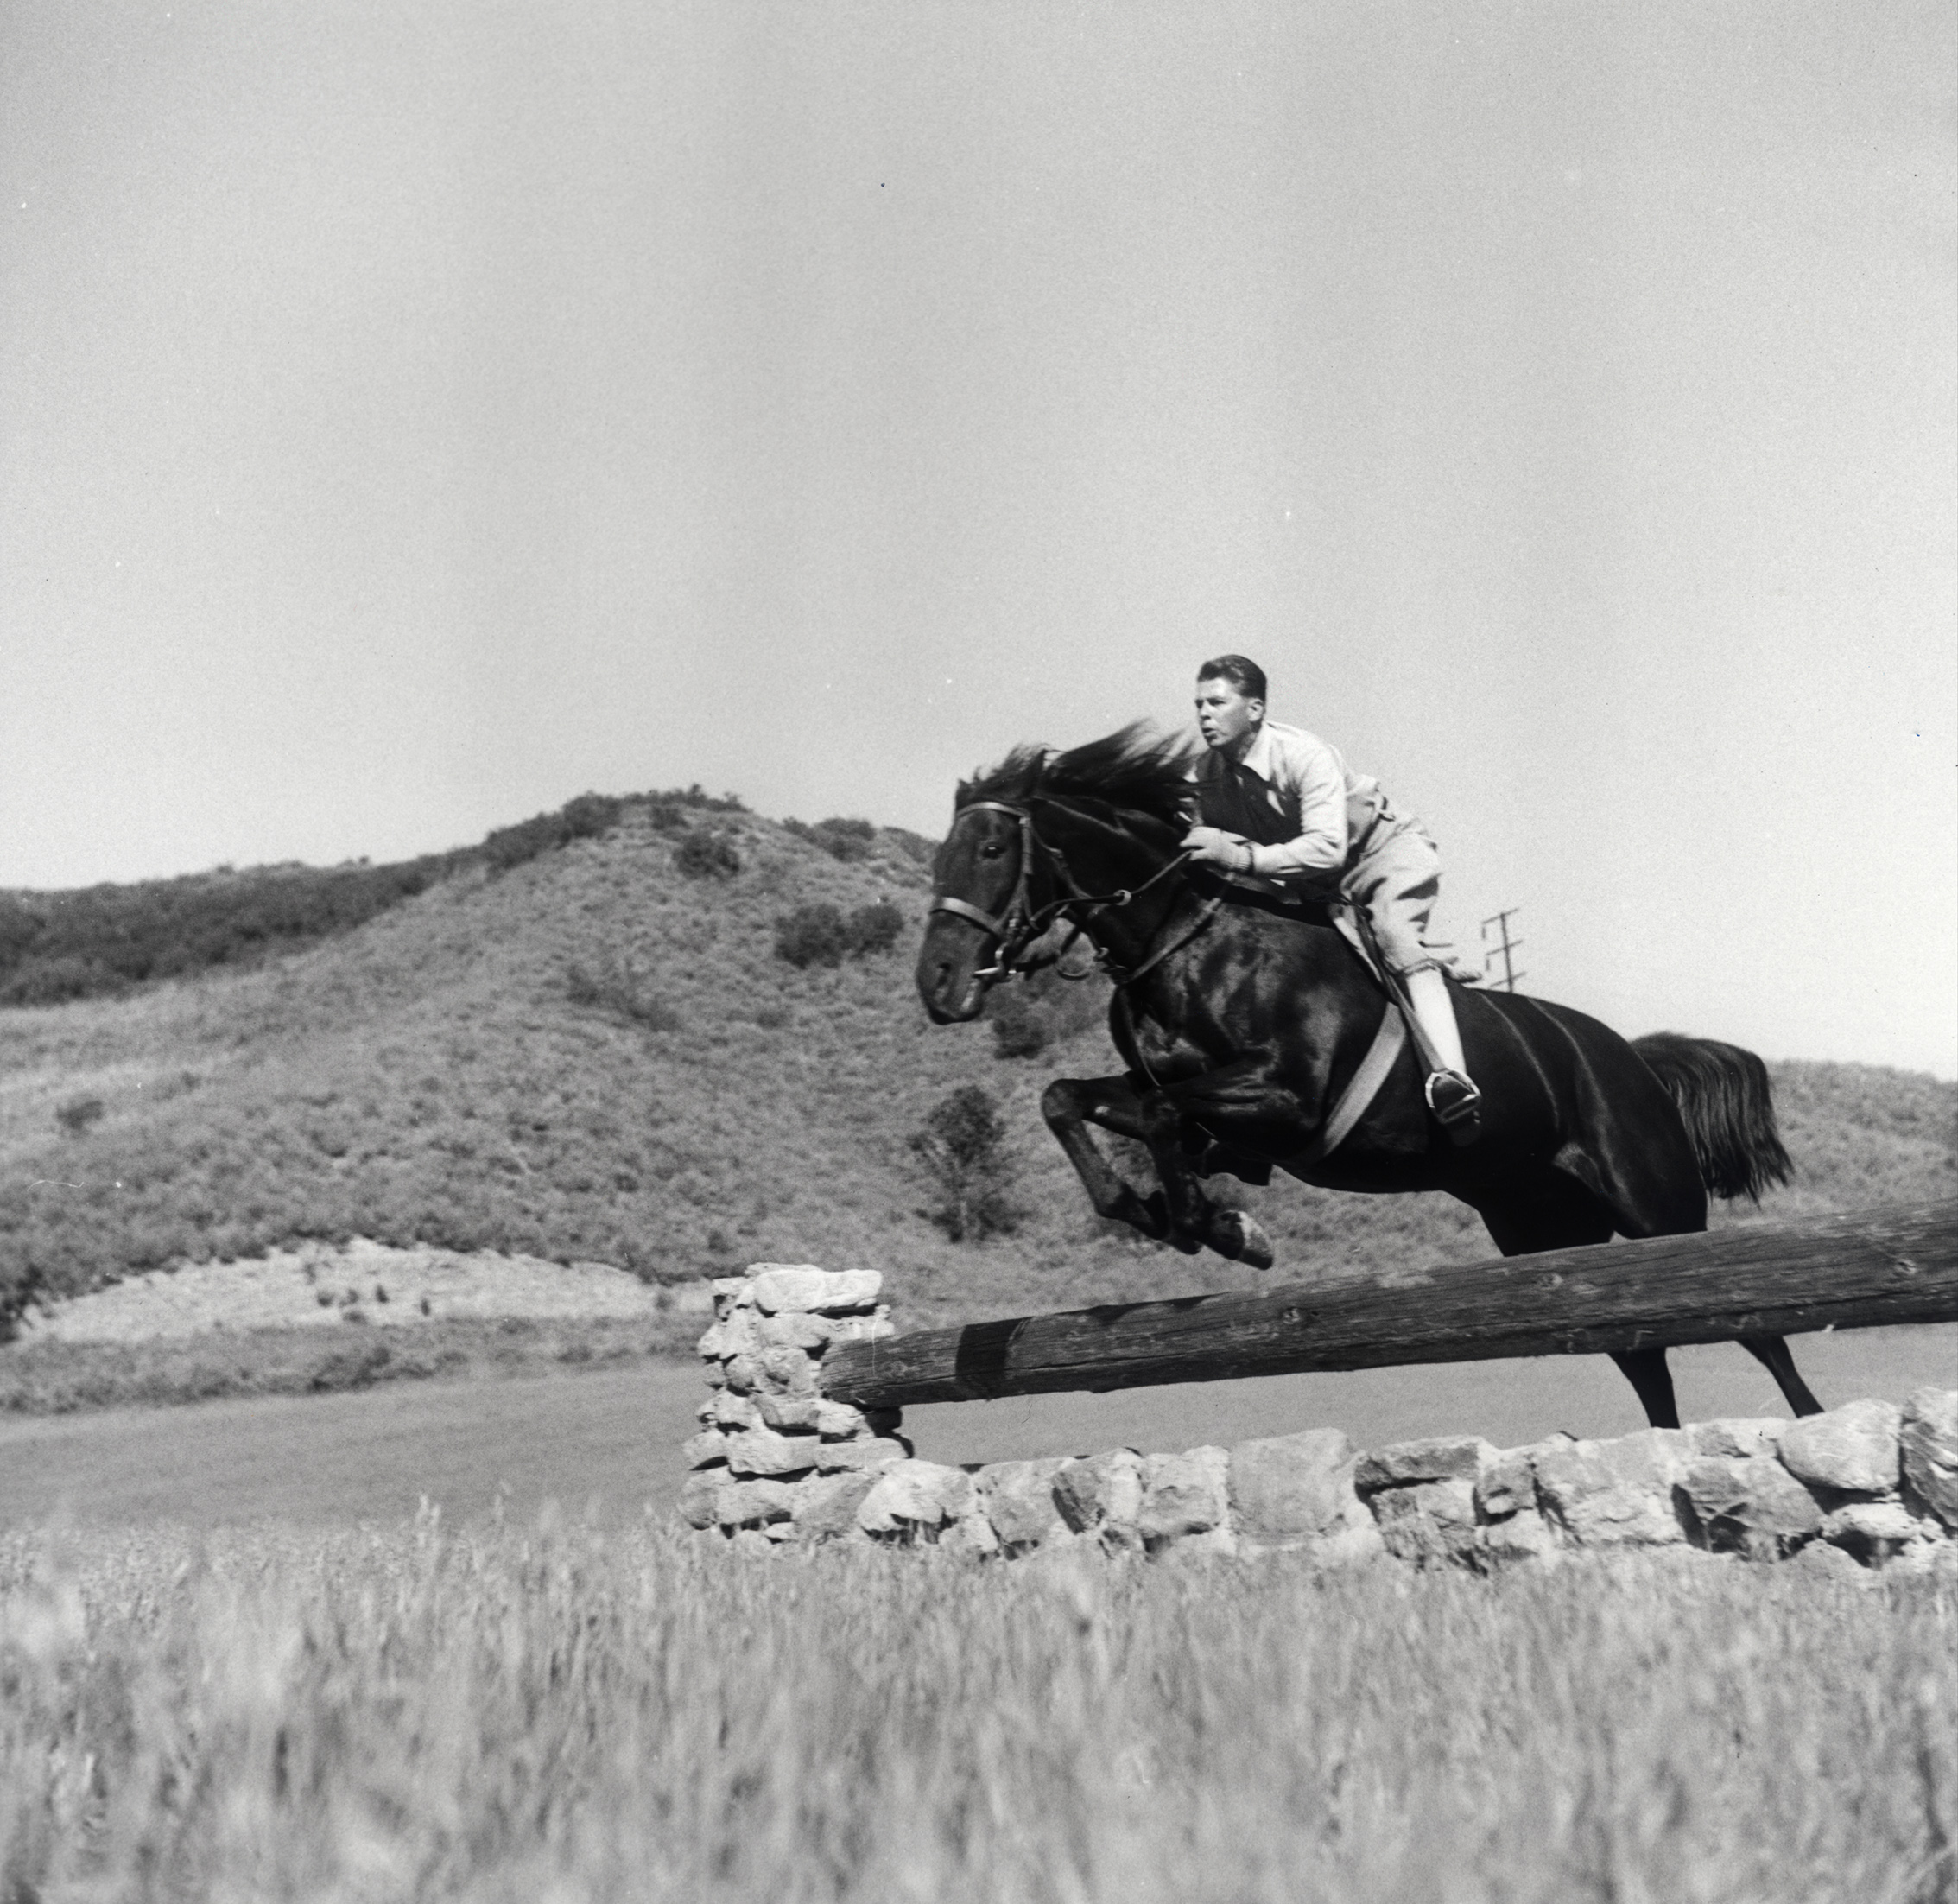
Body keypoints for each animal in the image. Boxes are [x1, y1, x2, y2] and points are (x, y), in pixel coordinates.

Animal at [916, 728, 1816, 1425]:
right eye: (942, 859)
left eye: (992, 850)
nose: (937, 983)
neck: (1183, 940)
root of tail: (1629, 1055)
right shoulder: (1182, 1096)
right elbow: (1068, 1101)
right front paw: (1184, 1217)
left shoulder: (1286, 1102)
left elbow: (1168, 1119)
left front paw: (1214, 1226)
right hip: (1542, 1225)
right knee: (1641, 1351)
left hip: (1655, 1206)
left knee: (1757, 1332)